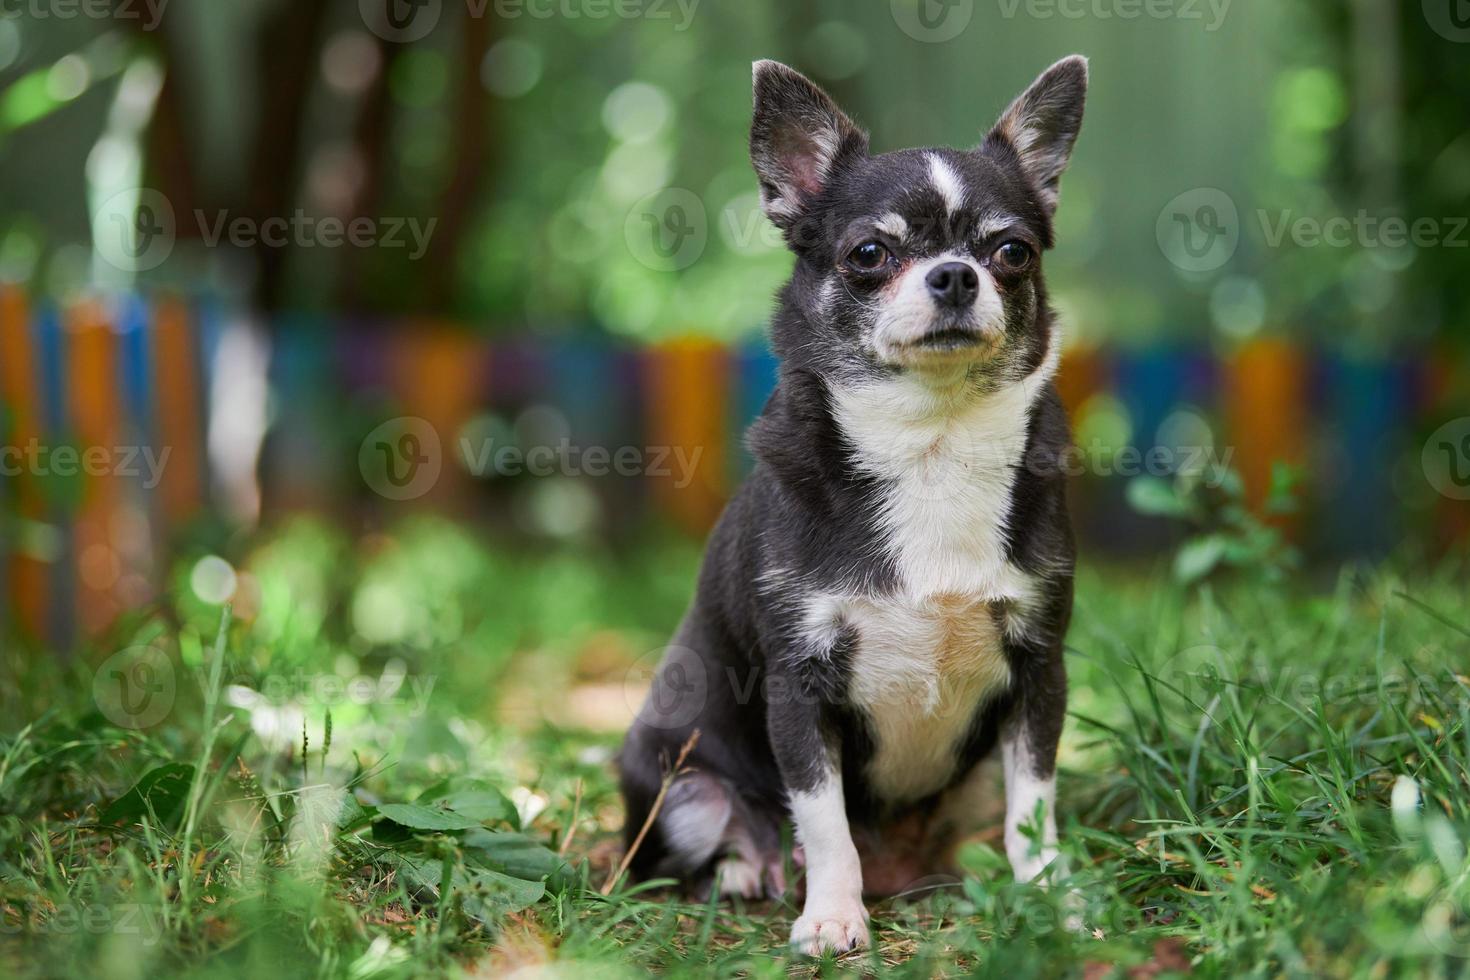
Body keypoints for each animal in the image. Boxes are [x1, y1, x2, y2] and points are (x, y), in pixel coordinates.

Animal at [614, 55, 1087, 957]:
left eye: (1010, 251)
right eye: (870, 253)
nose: (955, 274)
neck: (932, 445)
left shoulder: (1038, 672)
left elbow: (1035, 806)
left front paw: (1052, 895)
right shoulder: (799, 689)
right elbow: (825, 820)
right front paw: (833, 915)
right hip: (681, 786)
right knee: (723, 839)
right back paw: (753, 871)